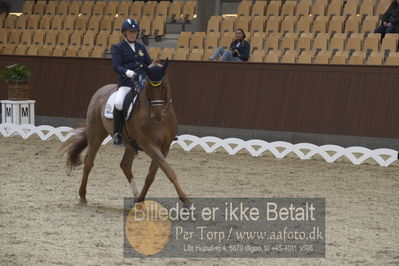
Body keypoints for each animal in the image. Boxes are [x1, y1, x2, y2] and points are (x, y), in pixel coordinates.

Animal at [62, 60, 192, 208]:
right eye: (148, 86)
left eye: (164, 85)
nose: (157, 114)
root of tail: (100, 91)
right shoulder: (149, 146)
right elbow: (169, 171)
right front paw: (186, 201)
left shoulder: (164, 147)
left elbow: (152, 175)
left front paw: (141, 199)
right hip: (96, 134)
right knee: (89, 161)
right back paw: (83, 196)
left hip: (130, 144)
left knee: (125, 165)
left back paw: (136, 197)